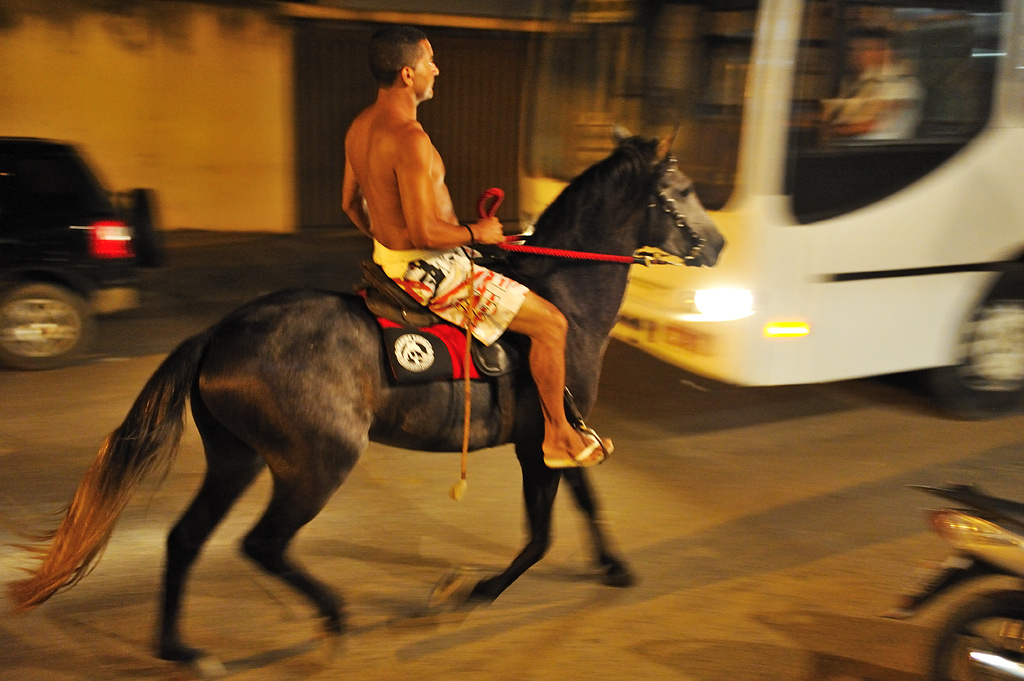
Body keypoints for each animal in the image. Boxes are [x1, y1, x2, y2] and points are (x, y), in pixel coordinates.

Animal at [12, 131, 724, 659]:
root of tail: (220, 332)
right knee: (262, 544)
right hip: (318, 463)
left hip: (236, 458)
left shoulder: (556, 435)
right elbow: (540, 538)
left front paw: (614, 567)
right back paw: (332, 617)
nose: (717, 243)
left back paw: (179, 648)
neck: (566, 298)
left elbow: (585, 502)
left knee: (187, 538)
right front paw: (471, 592)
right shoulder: (538, 442)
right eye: (683, 190)